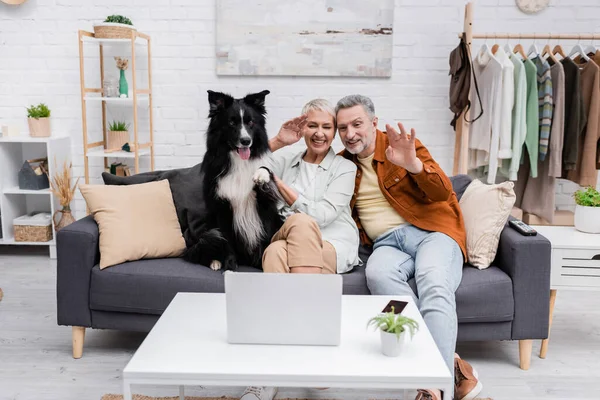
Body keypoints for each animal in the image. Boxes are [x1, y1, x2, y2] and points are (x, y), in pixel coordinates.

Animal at [183, 90, 284, 272]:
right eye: (231, 123)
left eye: (250, 122)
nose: (246, 141)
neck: (239, 162)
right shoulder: (222, 208)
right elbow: (227, 241)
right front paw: (229, 265)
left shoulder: (265, 206)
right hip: (208, 229)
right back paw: (215, 261)